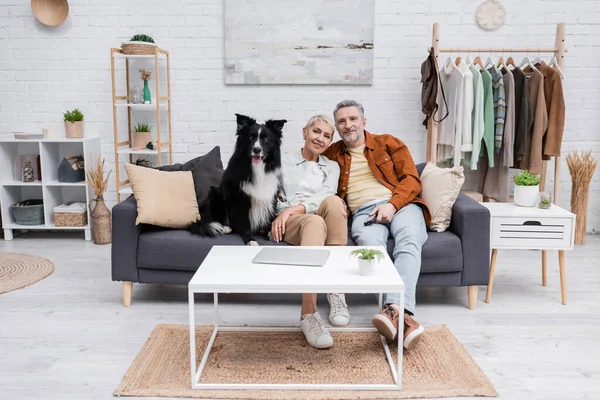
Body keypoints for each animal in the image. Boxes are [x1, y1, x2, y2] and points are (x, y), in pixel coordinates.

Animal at [190, 112, 288, 244]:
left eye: (266, 139)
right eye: (251, 138)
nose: (257, 150)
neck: (257, 168)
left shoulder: (270, 196)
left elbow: (269, 217)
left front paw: (270, 232)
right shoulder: (240, 198)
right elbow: (244, 221)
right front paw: (250, 240)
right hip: (214, 194)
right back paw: (224, 228)